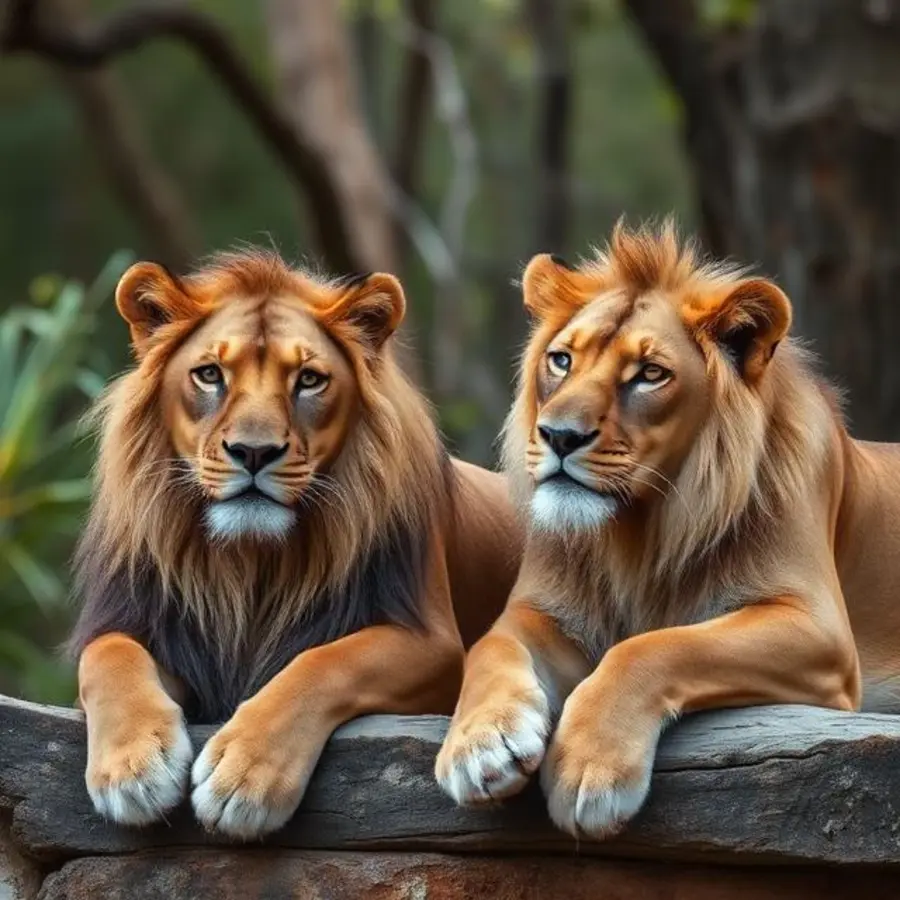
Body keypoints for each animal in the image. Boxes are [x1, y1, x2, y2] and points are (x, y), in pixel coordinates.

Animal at [69, 250, 522, 839]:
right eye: (210, 374)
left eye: (309, 380)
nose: (253, 452)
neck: (251, 561)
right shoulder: (145, 625)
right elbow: (108, 657)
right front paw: (132, 767)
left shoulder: (431, 641)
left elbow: (321, 663)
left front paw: (242, 776)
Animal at [436, 220, 900, 840]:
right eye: (561, 361)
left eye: (650, 375)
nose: (558, 436)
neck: (639, 530)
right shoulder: (540, 611)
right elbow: (489, 645)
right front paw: (480, 744)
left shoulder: (818, 629)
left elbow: (655, 646)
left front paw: (590, 768)